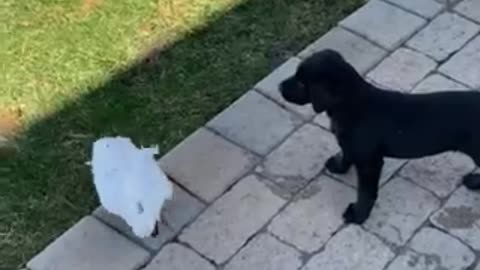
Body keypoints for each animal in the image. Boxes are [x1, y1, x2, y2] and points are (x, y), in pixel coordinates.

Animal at [280, 49, 480, 225]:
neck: (351, 103)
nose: (279, 86)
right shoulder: (350, 145)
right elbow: (346, 155)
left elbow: (365, 192)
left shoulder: (370, 163)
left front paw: (358, 215)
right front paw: (338, 167)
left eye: (302, 83)